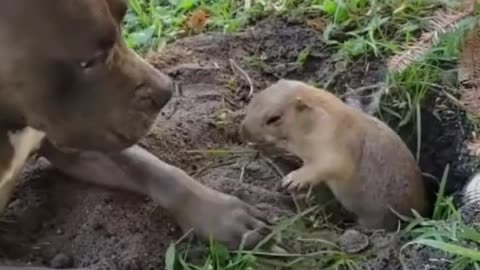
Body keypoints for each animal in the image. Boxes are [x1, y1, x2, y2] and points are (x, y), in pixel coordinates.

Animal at [0, 0, 268, 266]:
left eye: (123, 18)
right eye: (90, 61)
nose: (166, 91)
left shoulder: (76, 142)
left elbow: (155, 169)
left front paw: (221, 213)